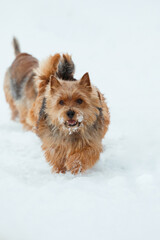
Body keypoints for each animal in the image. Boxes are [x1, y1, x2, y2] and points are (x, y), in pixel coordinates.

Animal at [3, 37, 110, 173]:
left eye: (80, 100)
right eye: (61, 102)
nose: (70, 112)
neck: (71, 132)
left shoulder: (91, 141)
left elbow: (84, 153)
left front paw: (74, 165)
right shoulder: (53, 141)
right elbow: (56, 153)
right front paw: (60, 171)